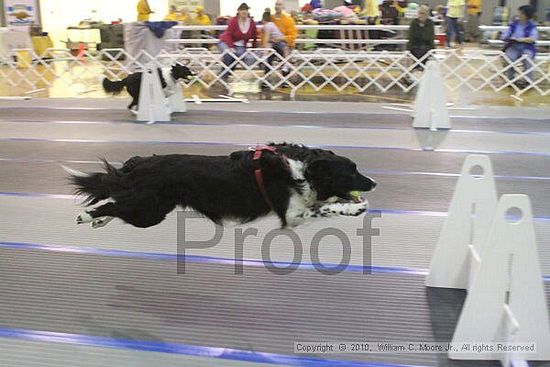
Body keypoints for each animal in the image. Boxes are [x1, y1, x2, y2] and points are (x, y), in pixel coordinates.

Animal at [62, 144, 378, 230]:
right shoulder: (292, 215)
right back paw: (87, 216)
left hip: (151, 208)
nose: (374, 182)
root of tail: (140, 162)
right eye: (351, 171)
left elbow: (325, 204)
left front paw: (353, 206)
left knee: (116, 202)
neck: (303, 169)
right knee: (113, 204)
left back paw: (97, 219)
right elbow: (326, 208)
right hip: (149, 211)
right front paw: (354, 208)